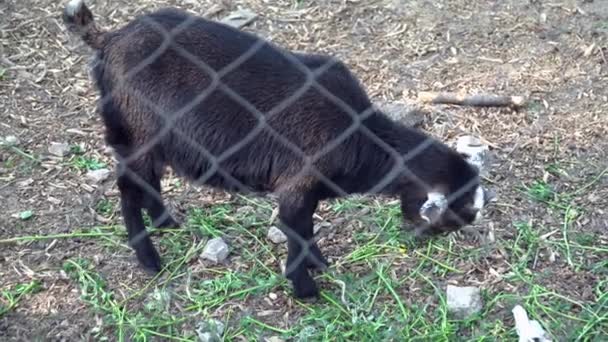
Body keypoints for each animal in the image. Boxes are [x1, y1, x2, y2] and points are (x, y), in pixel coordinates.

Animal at [63, 0, 490, 298]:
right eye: (461, 210)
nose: (462, 230)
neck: (361, 137)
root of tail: (111, 38)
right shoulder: (298, 186)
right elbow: (295, 231)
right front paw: (306, 289)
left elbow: (306, 230)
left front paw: (320, 265)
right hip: (137, 133)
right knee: (128, 190)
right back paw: (149, 259)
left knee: (147, 182)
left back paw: (166, 222)